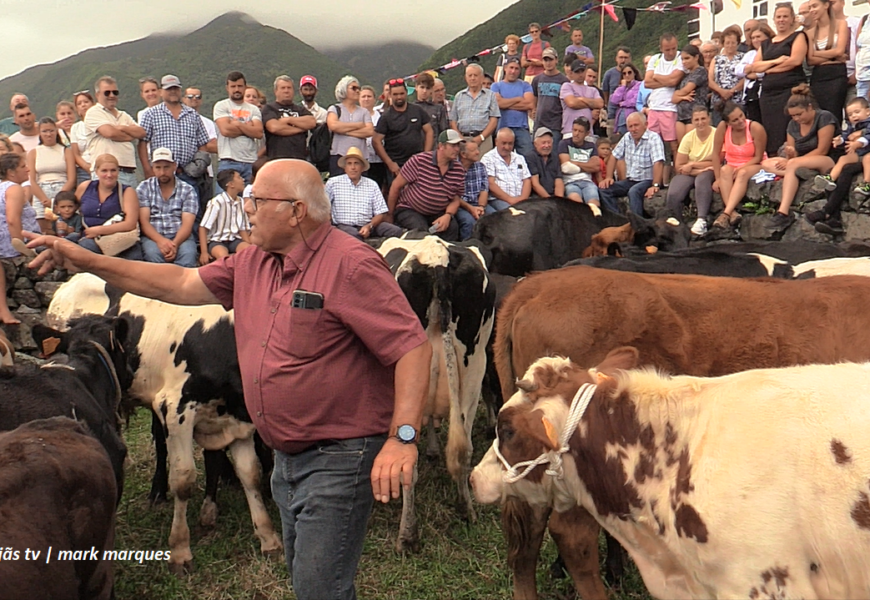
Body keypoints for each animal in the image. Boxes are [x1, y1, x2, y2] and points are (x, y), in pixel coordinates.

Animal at [47, 274, 282, 576]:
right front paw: (180, 550)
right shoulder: (174, 408)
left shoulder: (237, 417)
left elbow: (250, 473)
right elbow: (183, 479)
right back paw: (157, 492)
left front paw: (268, 538)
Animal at [376, 236, 498, 552]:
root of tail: (437, 256)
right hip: (474, 363)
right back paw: (466, 509)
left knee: (406, 460)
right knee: (463, 448)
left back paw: (407, 535)